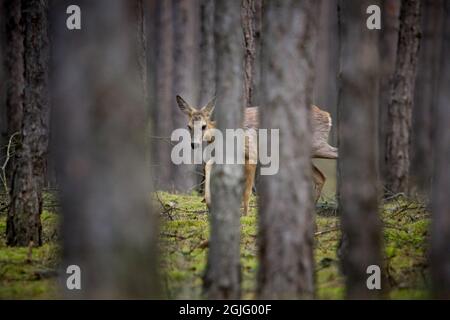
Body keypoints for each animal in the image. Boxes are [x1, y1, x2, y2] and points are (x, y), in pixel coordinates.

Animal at [176, 95, 338, 215]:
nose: (194, 144)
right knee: (321, 176)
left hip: (316, 145)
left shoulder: (252, 153)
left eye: (203, 126)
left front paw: (245, 215)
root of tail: (328, 116)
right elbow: (209, 165)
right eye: (188, 126)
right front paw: (209, 203)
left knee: (335, 154)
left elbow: (247, 191)